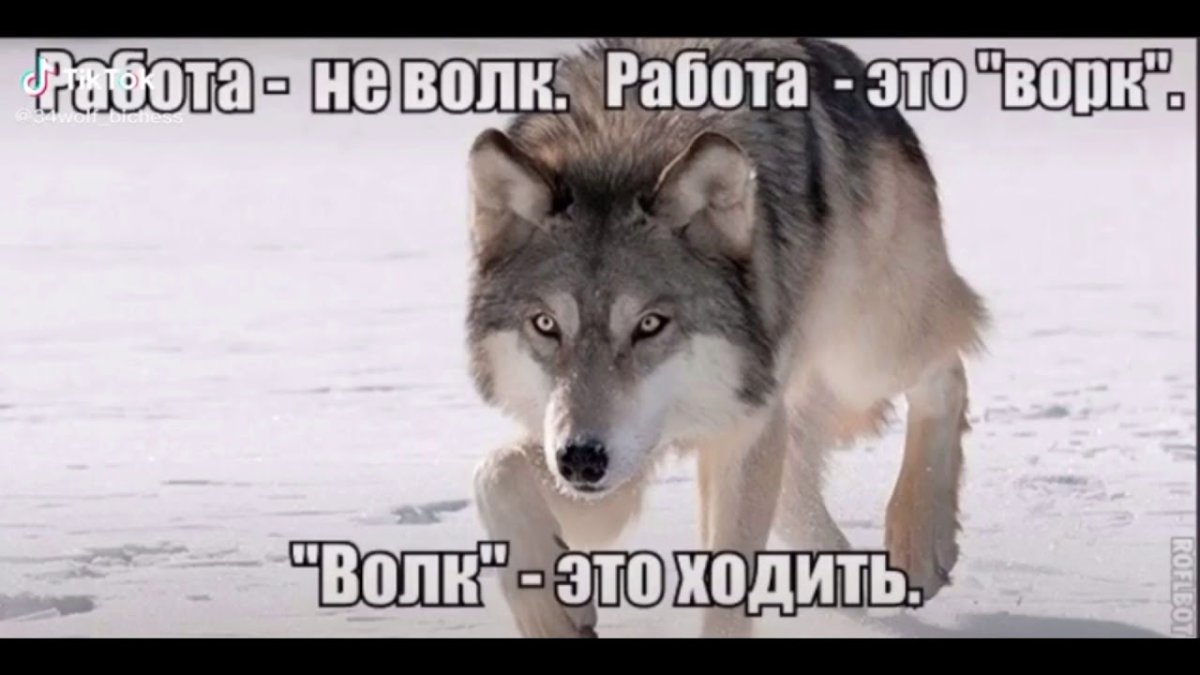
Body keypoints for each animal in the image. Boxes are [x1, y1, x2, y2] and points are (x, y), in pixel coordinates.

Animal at [465, 38, 988, 638]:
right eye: (546, 325)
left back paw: (919, 543)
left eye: (650, 324)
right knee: (796, 488)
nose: (581, 460)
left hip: (862, 354)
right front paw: (550, 611)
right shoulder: (609, 460)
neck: (620, 144)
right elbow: (494, 473)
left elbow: (726, 588)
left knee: (947, 370)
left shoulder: (740, 426)